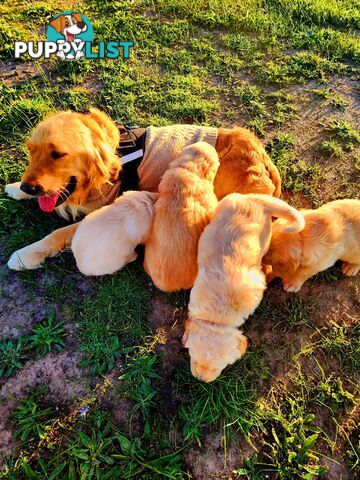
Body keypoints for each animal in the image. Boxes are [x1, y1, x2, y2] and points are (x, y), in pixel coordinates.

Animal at [184, 193, 306, 380]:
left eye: (217, 368)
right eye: (195, 361)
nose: (200, 379)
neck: (218, 317)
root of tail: (256, 199)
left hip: (265, 235)